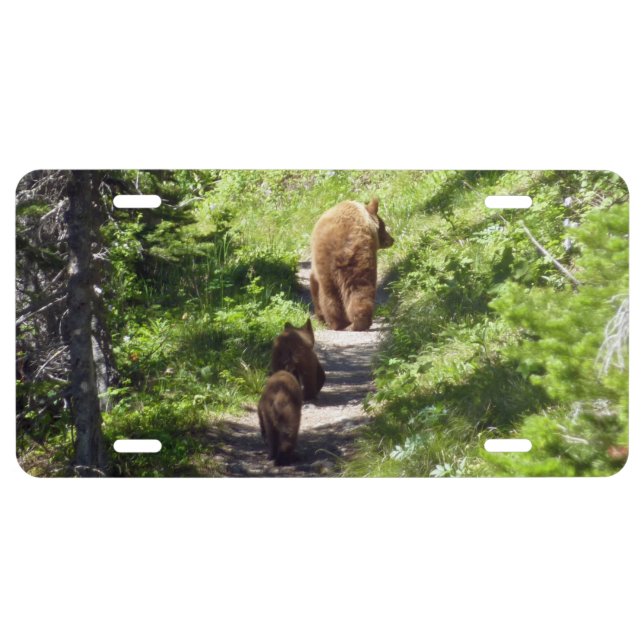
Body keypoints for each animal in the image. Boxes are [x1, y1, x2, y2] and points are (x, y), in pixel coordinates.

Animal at [310, 197, 393, 331]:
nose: (391, 239)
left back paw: (340, 323)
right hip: (356, 260)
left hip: (337, 264)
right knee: (358, 289)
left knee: (333, 294)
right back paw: (353, 323)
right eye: (384, 226)